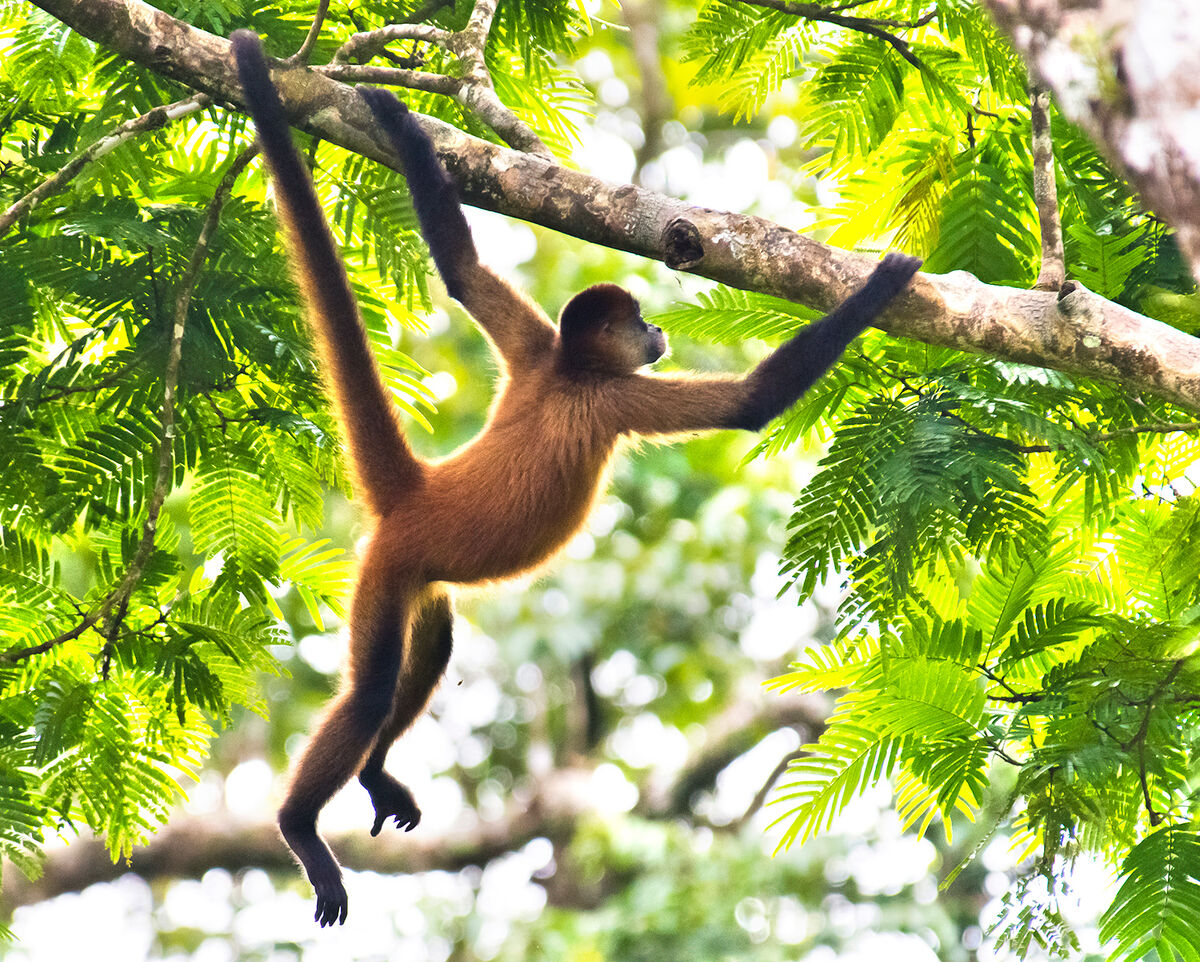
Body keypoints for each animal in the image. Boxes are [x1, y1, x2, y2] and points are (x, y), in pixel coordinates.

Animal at [226, 29, 916, 921]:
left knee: (434, 644)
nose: (658, 332)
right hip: (386, 571)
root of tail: (418, 490)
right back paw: (300, 828)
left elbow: (460, 269)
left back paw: (374, 770)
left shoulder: (534, 351)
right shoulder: (609, 396)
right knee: (373, 688)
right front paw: (883, 286)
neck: (566, 371)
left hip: (416, 584)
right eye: (642, 325)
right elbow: (750, 404)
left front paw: (401, 123)